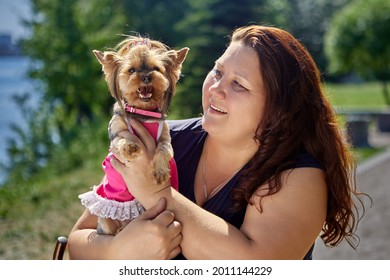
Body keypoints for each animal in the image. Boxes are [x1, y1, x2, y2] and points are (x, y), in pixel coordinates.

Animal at [78, 36, 188, 235]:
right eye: (131, 70)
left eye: (156, 68)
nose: (146, 77)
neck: (143, 113)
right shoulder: (116, 132)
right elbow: (121, 139)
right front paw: (130, 147)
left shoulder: (165, 137)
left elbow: (164, 150)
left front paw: (160, 173)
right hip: (105, 222)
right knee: (111, 231)